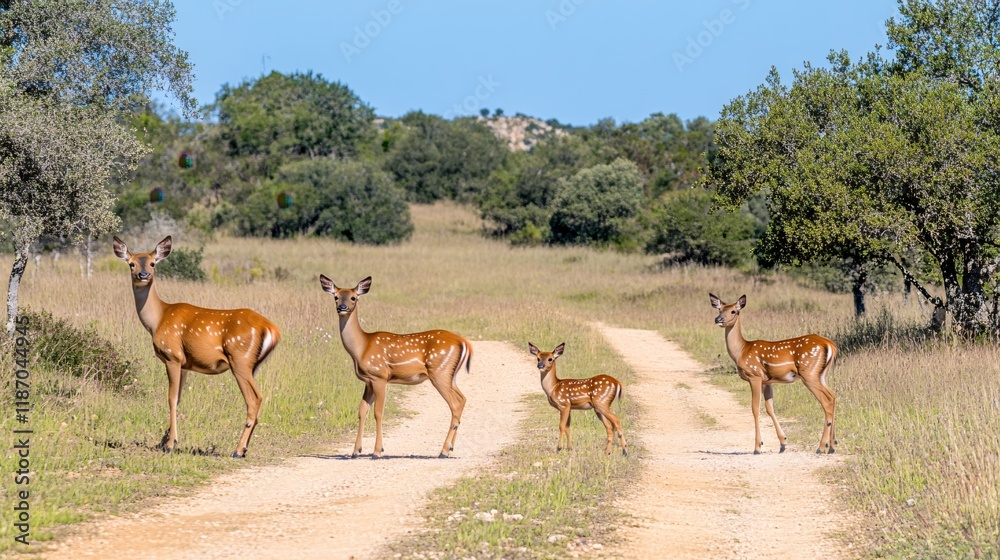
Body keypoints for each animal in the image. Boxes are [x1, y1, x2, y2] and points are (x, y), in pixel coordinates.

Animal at [113, 236, 280, 458]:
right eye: (131, 263)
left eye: (152, 263)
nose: (143, 275)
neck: (158, 319)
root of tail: (272, 329)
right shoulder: (184, 364)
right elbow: (178, 399)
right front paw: (164, 440)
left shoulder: (172, 356)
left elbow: (171, 398)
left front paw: (170, 444)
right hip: (253, 365)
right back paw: (244, 448)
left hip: (240, 360)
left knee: (255, 399)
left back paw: (237, 450)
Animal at [319, 275, 472, 459]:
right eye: (335, 296)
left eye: (353, 297)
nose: (342, 307)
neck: (362, 347)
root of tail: (463, 342)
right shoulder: (368, 380)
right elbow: (362, 410)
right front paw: (356, 451)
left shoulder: (380, 375)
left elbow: (378, 412)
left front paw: (377, 451)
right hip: (450, 375)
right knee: (462, 399)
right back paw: (450, 449)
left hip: (439, 372)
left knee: (455, 404)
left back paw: (443, 451)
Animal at [709, 293, 838, 455]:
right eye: (719, 309)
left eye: (734, 311)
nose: (718, 319)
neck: (741, 351)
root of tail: (830, 345)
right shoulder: (767, 381)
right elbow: (770, 408)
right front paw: (783, 444)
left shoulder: (755, 375)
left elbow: (755, 408)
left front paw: (757, 447)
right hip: (820, 374)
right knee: (833, 395)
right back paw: (832, 446)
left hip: (809, 372)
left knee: (827, 400)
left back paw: (821, 447)